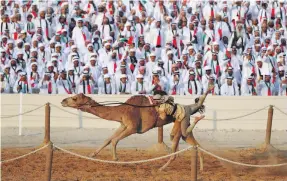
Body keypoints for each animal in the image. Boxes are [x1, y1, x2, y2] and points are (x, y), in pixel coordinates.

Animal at [61, 92, 209, 170]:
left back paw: (161, 168)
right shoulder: (123, 124)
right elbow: (108, 139)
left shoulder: (133, 127)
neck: (122, 110)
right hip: (182, 124)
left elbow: (114, 140)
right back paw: (201, 168)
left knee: (177, 147)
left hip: (180, 122)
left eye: (74, 98)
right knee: (194, 143)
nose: (63, 101)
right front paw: (92, 154)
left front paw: (115, 158)